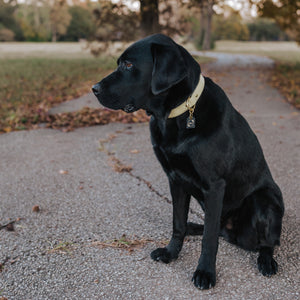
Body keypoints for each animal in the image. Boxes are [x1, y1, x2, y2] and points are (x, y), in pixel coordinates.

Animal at [92, 34, 284, 290]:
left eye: (129, 64)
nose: (93, 89)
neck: (178, 114)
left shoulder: (214, 186)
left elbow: (209, 239)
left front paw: (205, 273)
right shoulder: (175, 179)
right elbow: (178, 223)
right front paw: (171, 253)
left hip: (265, 200)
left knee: (265, 241)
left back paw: (266, 261)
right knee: (216, 228)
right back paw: (195, 227)